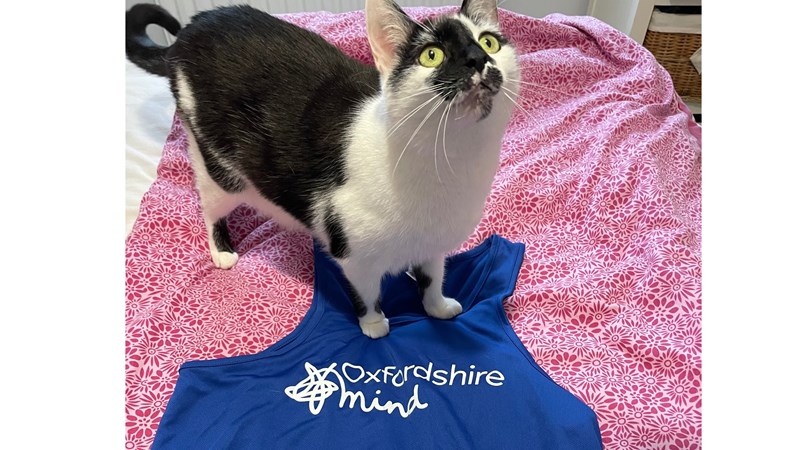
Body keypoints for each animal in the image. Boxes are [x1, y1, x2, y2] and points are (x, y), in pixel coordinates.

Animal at [126, 0, 520, 339]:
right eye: (432, 55)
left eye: (489, 41)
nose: (477, 58)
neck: (450, 163)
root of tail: (192, 27)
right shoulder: (352, 251)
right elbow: (367, 291)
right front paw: (374, 323)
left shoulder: (435, 245)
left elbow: (433, 276)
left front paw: (437, 305)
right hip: (219, 167)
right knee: (209, 205)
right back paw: (221, 249)